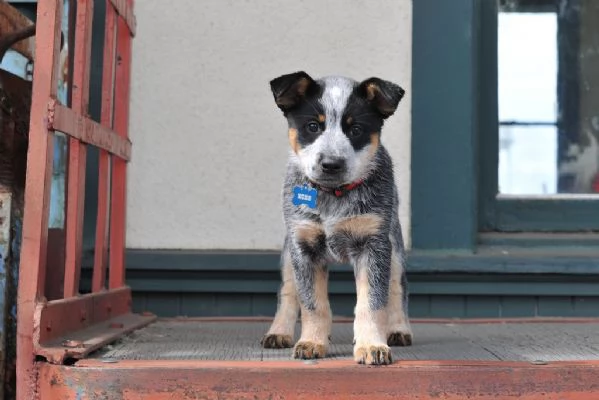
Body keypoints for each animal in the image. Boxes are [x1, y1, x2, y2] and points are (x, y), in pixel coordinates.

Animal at [262, 72, 412, 366]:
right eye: (312, 126)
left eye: (355, 130)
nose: (331, 164)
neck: (333, 196)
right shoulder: (303, 245)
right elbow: (312, 303)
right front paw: (311, 342)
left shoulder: (374, 244)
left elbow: (372, 301)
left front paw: (371, 346)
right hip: (288, 253)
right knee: (288, 290)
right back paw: (279, 332)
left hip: (395, 246)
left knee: (396, 288)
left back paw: (399, 329)